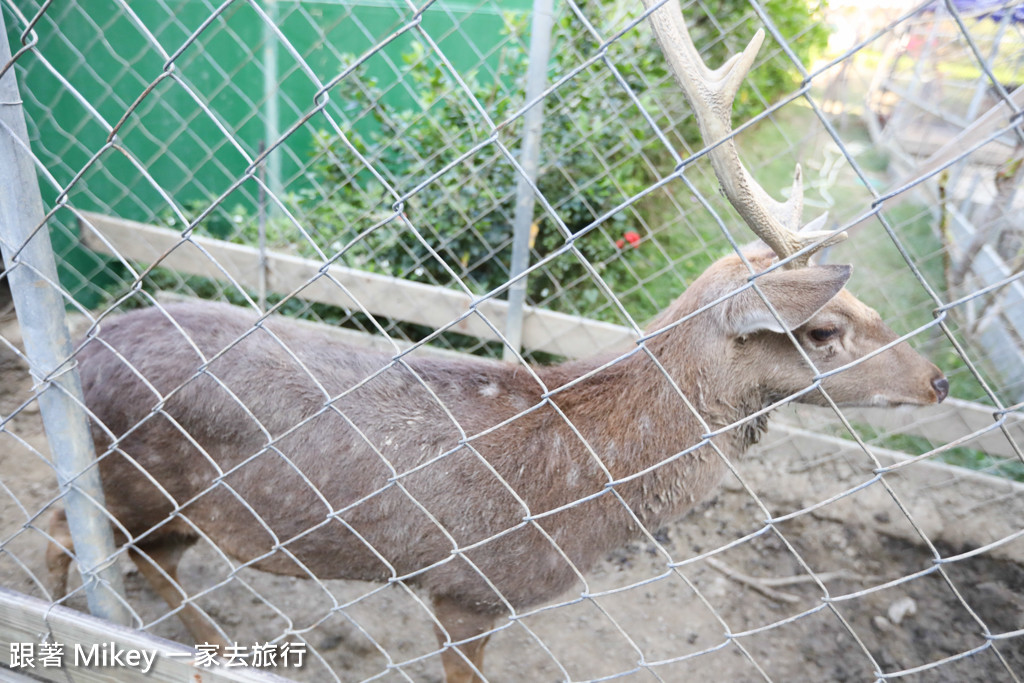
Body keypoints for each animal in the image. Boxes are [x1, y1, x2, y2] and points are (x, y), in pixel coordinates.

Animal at [44, 1, 946, 683]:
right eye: (824, 329)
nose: (938, 381)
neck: (589, 489)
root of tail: (81, 345)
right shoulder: (471, 587)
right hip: (137, 480)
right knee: (94, 540)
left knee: (110, 542)